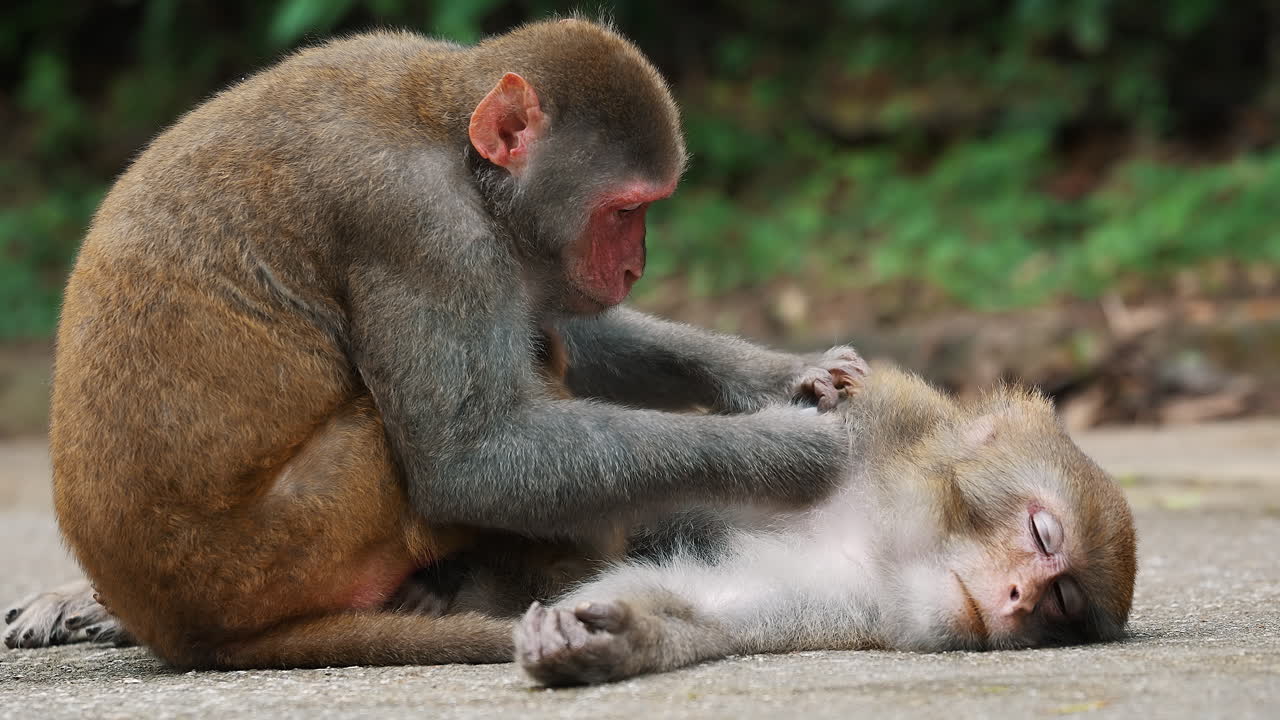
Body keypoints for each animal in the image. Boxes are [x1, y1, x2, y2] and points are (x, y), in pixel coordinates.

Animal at [21, 20, 869, 668]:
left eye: (647, 208)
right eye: (624, 210)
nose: (635, 265)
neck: (447, 134)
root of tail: (181, 632)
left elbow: (554, 322)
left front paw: (778, 374)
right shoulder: (422, 225)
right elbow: (470, 460)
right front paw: (784, 451)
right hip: (287, 547)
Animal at [514, 365, 1138, 686]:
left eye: (1061, 601)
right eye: (1042, 534)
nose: (1017, 598)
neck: (875, 526)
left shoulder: (850, 594)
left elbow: (713, 603)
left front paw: (625, 639)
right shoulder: (838, 440)